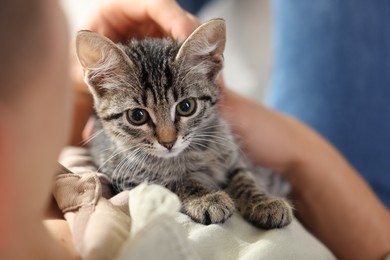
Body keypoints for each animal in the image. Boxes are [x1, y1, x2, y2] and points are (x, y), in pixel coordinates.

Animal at [75, 18, 292, 230]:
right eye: (137, 116)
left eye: (186, 106)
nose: (168, 142)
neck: (188, 155)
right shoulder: (127, 178)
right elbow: (172, 183)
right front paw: (206, 198)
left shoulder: (234, 154)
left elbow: (245, 176)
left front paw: (265, 202)